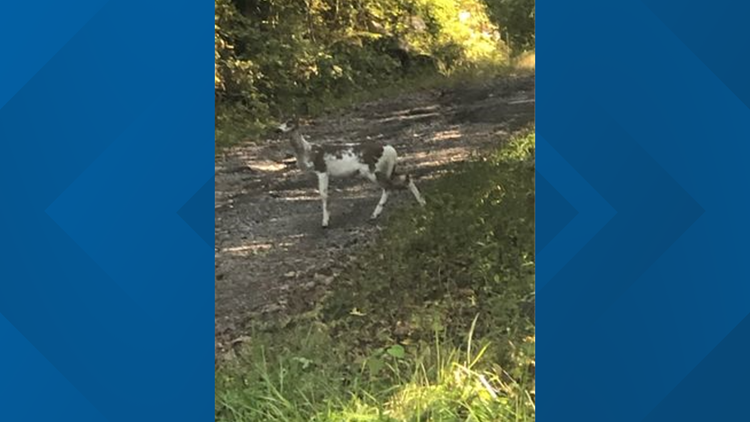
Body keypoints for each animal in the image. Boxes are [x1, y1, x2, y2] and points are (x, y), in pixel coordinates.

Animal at [276, 119, 426, 228]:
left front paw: (325, 222)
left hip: (372, 170)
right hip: (387, 169)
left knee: (389, 186)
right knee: (404, 178)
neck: (308, 153)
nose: (277, 129)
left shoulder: (322, 170)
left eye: (289, 123)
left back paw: (375, 214)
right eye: (281, 122)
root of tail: (391, 150)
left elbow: (324, 195)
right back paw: (421, 203)